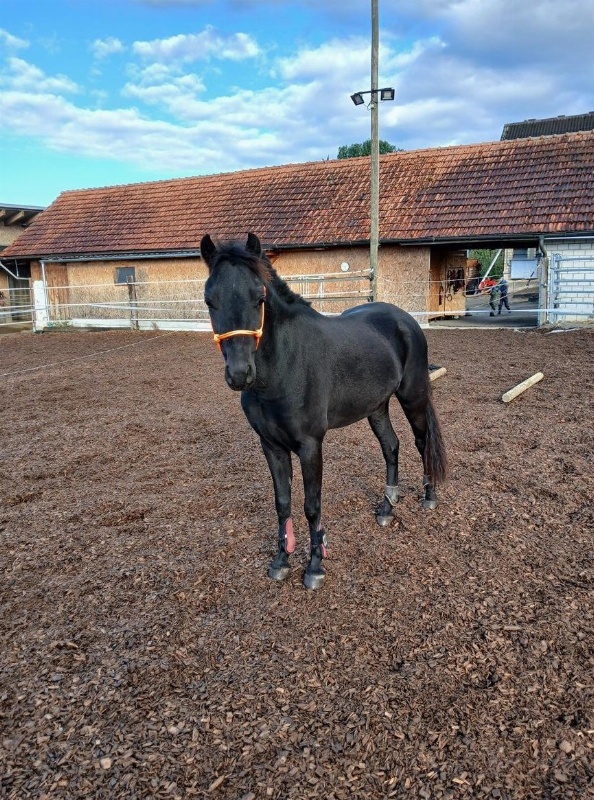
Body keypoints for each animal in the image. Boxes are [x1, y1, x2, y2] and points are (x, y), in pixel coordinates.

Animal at [201, 233, 447, 590]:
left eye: (259, 297)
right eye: (210, 300)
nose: (239, 374)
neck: (282, 369)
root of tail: (405, 320)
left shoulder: (310, 445)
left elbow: (312, 505)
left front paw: (315, 567)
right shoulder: (271, 446)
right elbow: (283, 503)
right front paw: (281, 561)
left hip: (412, 398)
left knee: (421, 442)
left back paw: (429, 496)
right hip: (377, 407)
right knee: (391, 446)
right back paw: (386, 508)